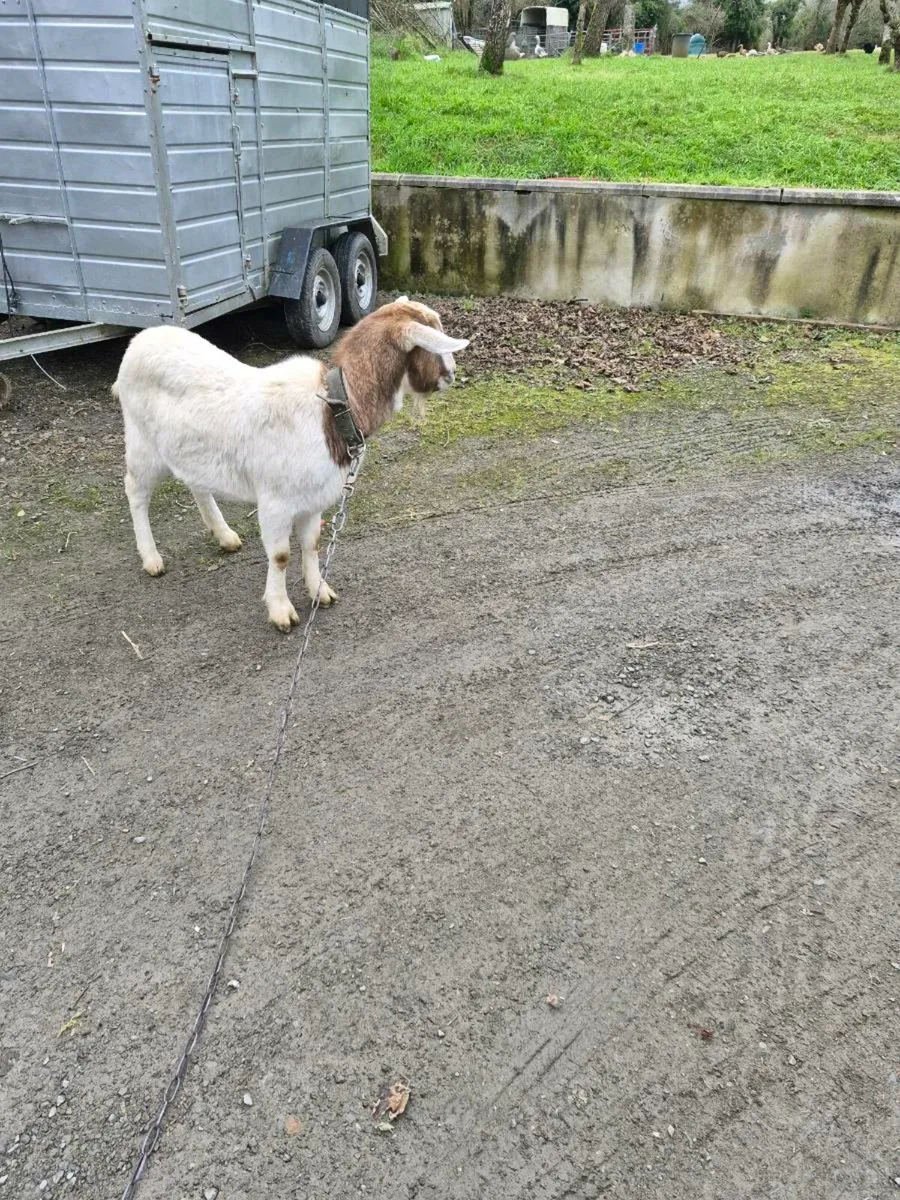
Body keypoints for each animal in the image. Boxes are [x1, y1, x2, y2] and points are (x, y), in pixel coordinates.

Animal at [112, 298, 468, 631]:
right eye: (434, 342)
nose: (451, 376)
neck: (332, 408)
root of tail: (140, 342)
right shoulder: (275, 501)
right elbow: (281, 556)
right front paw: (281, 611)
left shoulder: (312, 500)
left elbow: (312, 544)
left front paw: (320, 591)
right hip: (143, 444)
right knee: (135, 491)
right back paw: (151, 558)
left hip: (188, 448)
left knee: (195, 483)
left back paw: (225, 535)